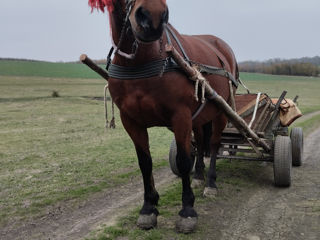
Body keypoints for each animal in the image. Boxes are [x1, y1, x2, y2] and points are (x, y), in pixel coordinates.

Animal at [89, 0, 239, 232]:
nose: (153, 17)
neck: (140, 61)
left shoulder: (181, 116)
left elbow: (183, 160)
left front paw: (187, 211)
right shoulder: (130, 120)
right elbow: (145, 163)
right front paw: (148, 207)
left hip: (222, 109)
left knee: (214, 144)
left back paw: (211, 183)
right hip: (200, 116)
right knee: (201, 140)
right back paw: (198, 176)